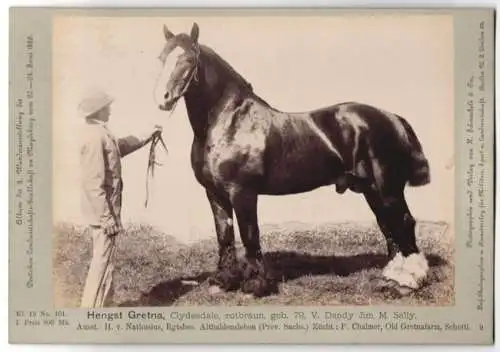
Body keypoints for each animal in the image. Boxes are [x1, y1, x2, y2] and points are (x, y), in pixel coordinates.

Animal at [154, 22, 432, 296]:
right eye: (161, 58)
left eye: (188, 59)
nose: (162, 99)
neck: (230, 121)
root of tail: (393, 117)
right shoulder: (215, 193)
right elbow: (224, 235)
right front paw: (223, 281)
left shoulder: (242, 192)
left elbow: (249, 235)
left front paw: (255, 284)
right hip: (371, 188)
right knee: (388, 224)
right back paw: (392, 276)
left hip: (387, 188)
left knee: (403, 222)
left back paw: (409, 280)